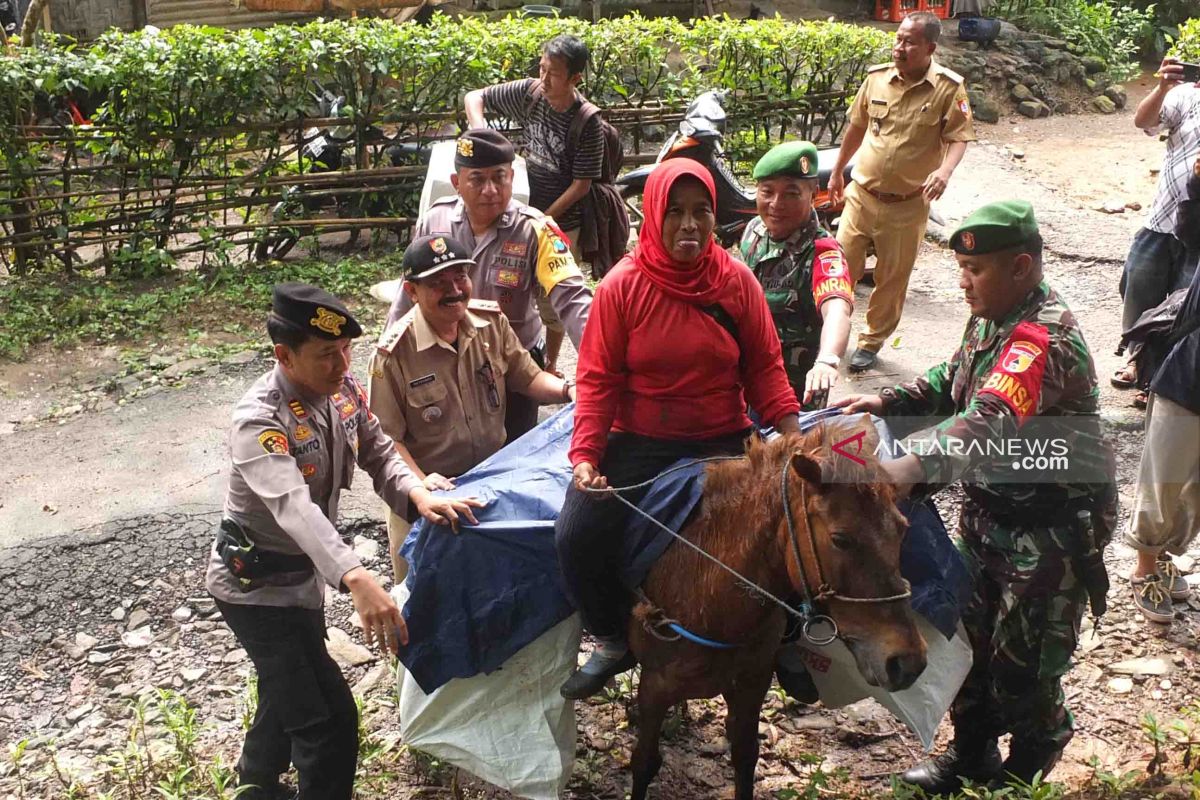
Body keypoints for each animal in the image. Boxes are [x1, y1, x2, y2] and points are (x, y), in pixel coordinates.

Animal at [628, 422, 926, 796]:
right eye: (840, 539)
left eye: (902, 529)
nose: (907, 662)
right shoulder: (654, 688)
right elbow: (644, 763)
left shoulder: (752, 685)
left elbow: (745, 758)